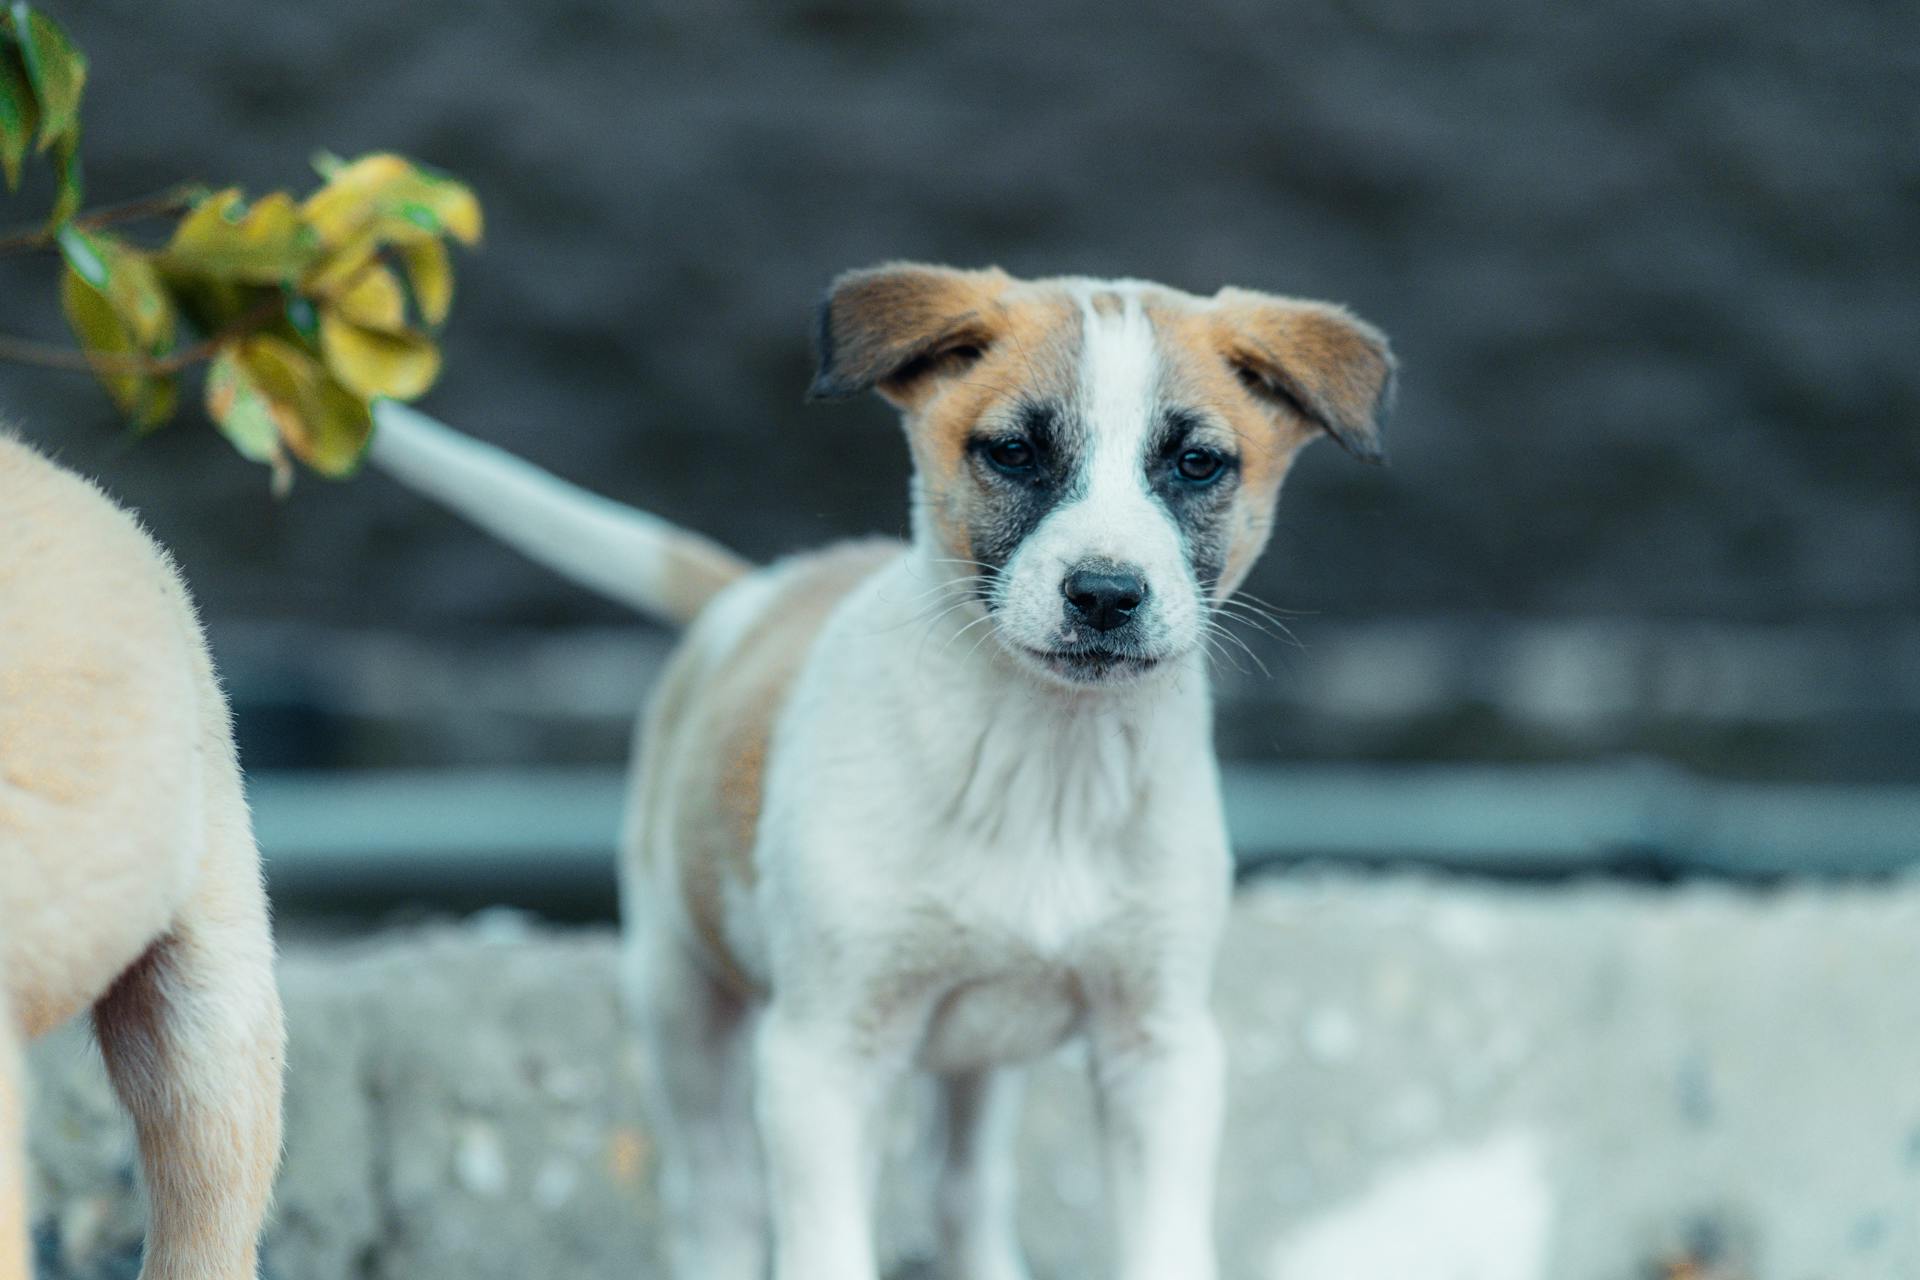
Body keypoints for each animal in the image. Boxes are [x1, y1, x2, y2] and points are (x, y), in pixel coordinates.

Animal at [370, 262, 1397, 1280]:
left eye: (1196, 464)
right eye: (1013, 453)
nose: (1105, 594)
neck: (1040, 763)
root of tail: (761, 587)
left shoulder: (1162, 1050)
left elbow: (1162, 1245)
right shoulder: (821, 1057)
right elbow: (823, 1245)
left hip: (975, 1058)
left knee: (959, 1190)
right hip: (679, 993)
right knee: (718, 1201)